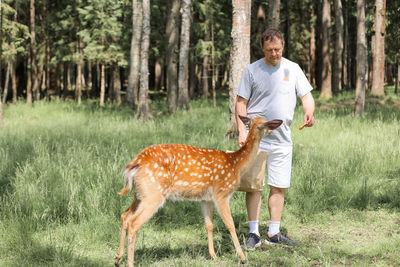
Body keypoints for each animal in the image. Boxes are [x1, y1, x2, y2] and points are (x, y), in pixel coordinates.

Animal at [114, 116, 282, 266]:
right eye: (266, 123)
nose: (277, 126)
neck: (236, 164)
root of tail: (134, 164)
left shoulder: (205, 198)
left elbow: (209, 224)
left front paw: (213, 255)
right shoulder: (222, 193)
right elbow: (230, 224)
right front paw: (242, 258)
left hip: (140, 194)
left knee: (125, 215)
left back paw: (118, 258)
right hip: (153, 194)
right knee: (134, 223)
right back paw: (129, 262)